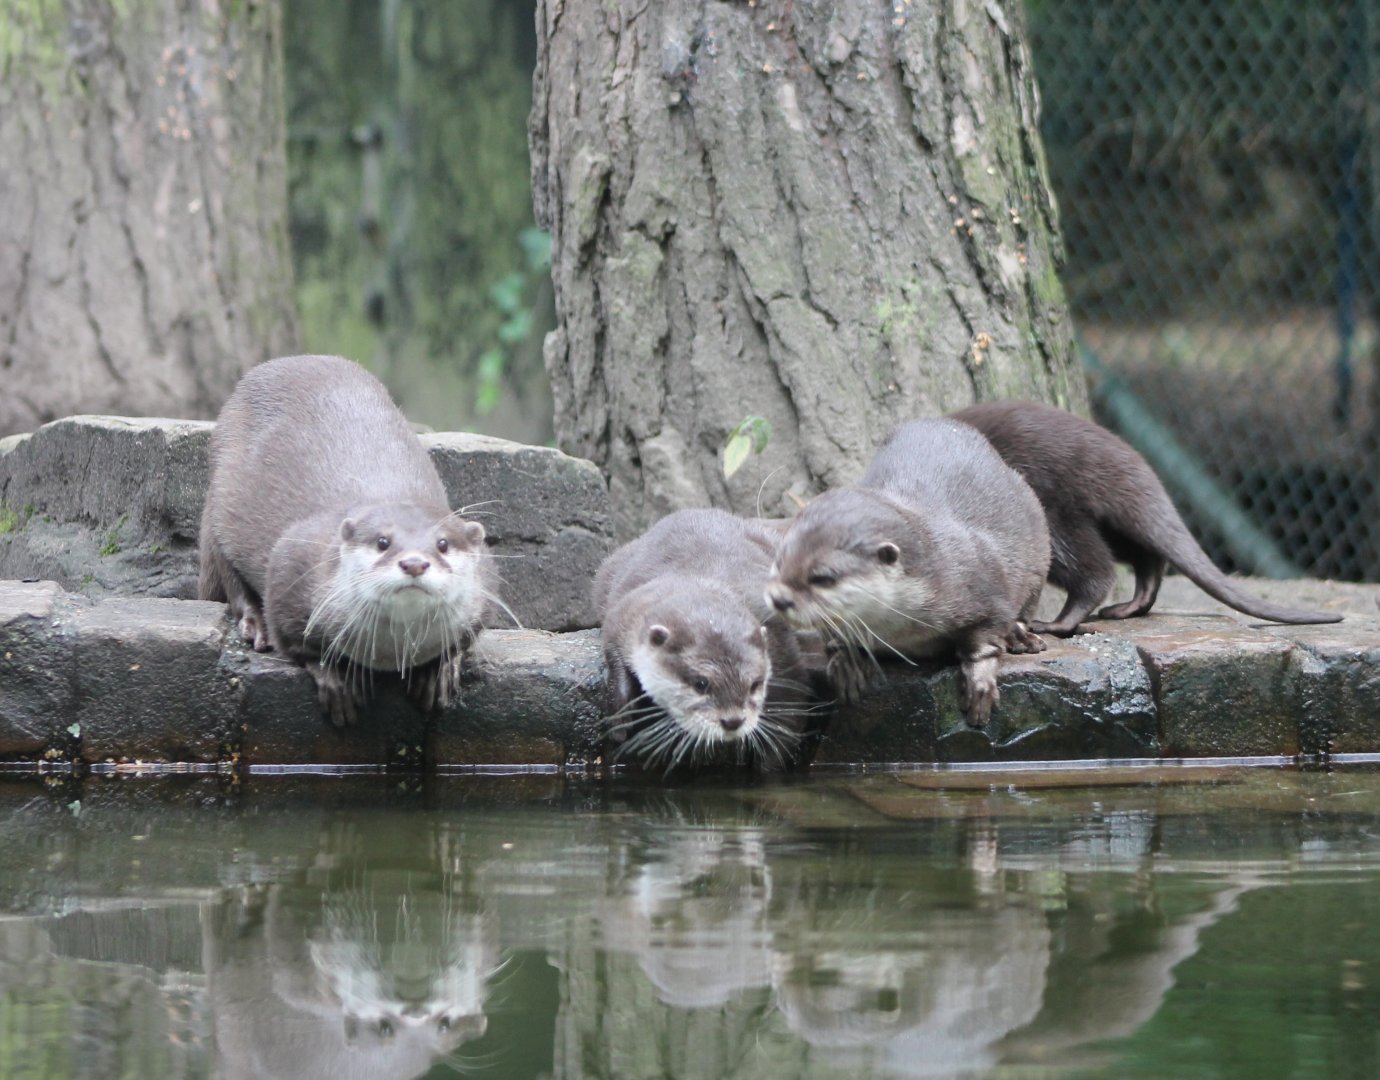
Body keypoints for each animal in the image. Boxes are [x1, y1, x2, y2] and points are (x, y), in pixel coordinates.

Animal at [199, 355, 496, 726]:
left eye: (442, 544)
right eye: (383, 542)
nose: (414, 562)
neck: (390, 653)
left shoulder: (483, 594)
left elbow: (462, 642)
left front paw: (438, 672)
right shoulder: (291, 565)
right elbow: (295, 643)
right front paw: (335, 680)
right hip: (220, 502)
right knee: (230, 576)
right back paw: (255, 625)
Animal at [594, 508, 825, 771]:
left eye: (755, 684)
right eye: (701, 683)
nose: (733, 721)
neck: (702, 579)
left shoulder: (781, 646)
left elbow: (789, 711)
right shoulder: (623, 615)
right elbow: (614, 657)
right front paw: (619, 719)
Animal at [765, 420, 1050, 727]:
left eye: (823, 578)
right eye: (779, 561)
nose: (779, 599)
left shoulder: (984, 584)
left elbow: (986, 640)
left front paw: (980, 685)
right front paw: (847, 663)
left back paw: (1020, 637)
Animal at [950, 401, 1344, 636]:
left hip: (1057, 511)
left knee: (1096, 572)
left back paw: (1056, 624)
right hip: (1109, 524)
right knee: (1148, 560)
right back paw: (1126, 608)